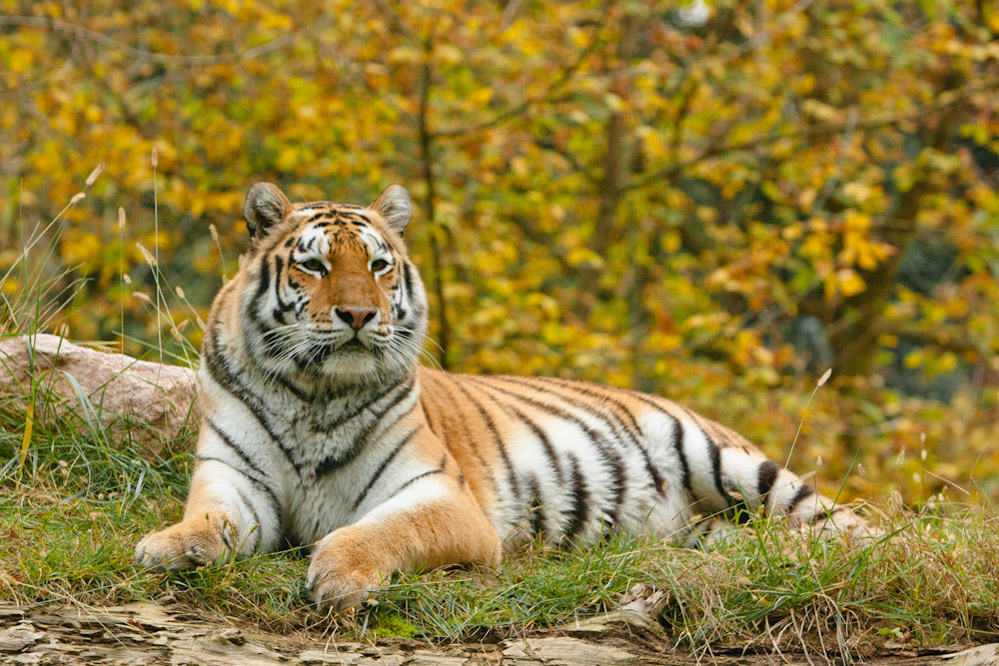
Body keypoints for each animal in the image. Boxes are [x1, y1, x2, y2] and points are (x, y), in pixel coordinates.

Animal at [135, 182, 874, 611]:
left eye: (378, 265)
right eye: (314, 265)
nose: (358, 315)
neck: (312, 394)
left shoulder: (443, 498)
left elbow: (379, 531)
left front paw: (340, 576)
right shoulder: (236, 478)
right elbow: (208, 520)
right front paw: (166, 548)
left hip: (727, 460)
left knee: (848, 528)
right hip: (703, 523)